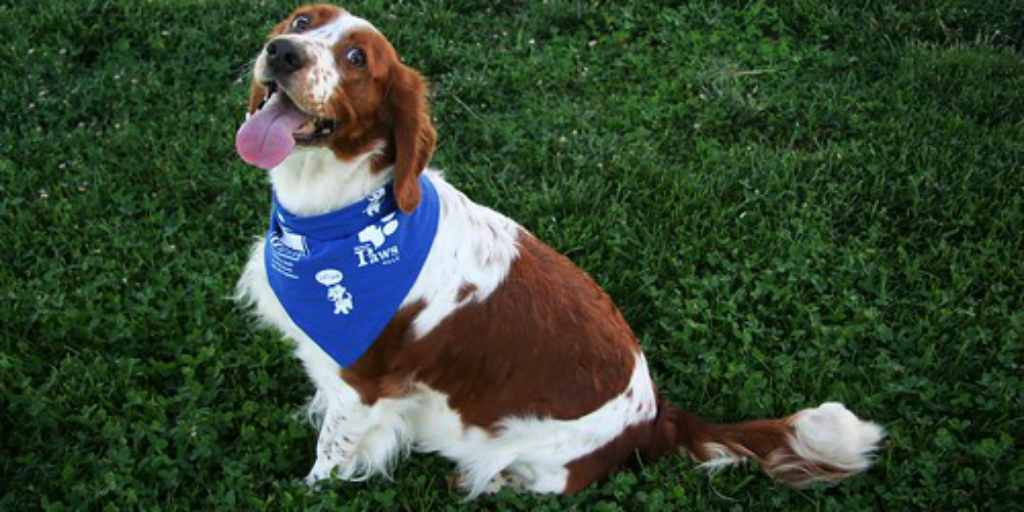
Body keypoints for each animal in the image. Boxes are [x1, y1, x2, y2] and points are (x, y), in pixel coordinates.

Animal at [235, 4, 884, 497]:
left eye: (356, 59)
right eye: (301, 19)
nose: (284, 51)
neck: (336, 221)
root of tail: (656, 416)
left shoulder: (363, 382)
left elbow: (331, 453)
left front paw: (310, 488)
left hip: (542, 459)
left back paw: (484, 479)